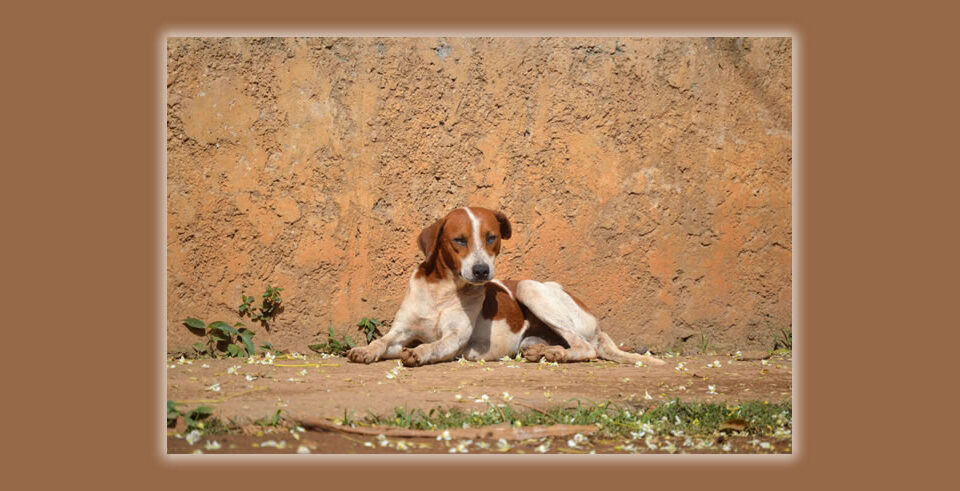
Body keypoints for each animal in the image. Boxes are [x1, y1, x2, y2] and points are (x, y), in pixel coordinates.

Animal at [346, 206, 668, 368]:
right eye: (459, 240)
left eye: (492, 237)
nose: (482, 271)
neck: (443, 291)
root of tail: (597, 324)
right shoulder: (402, 332)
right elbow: (381, 342)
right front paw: (364, 350)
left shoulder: (455, 338)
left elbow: (434, 345)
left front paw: (420, 353)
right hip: (529, 335)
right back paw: (544, 352)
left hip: (529, 288)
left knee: (587, 348)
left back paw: (558, 355)